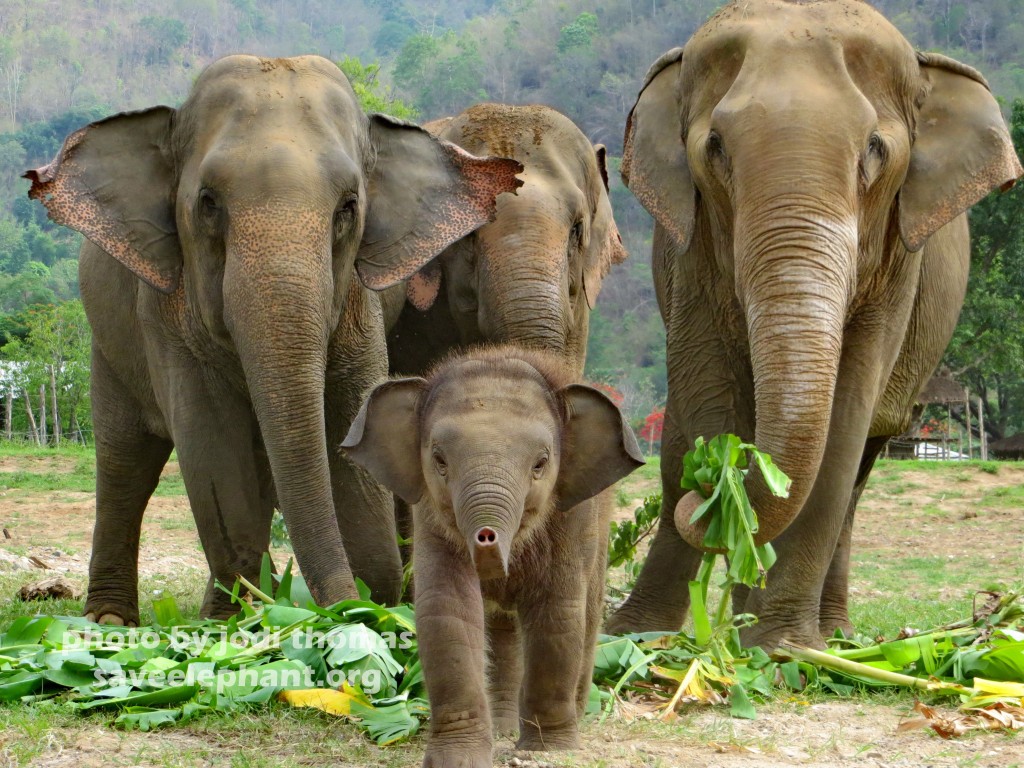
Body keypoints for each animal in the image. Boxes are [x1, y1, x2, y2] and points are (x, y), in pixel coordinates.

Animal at [25, 55, 520, 626]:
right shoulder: (166, 313)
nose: (350, 606)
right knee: (126, 460)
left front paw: (366, 605)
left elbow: (353, 418)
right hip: (109, 346)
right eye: (208, 203)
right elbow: (213, 446)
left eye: (349, 207)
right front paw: (244, 619)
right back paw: (117, 619)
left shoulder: (359, 304)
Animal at [602, 0, 1019, 651]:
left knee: (860, 470)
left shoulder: (898, 262)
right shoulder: (688, 250)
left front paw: (782, 648)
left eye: (875, 148)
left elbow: (844, 422)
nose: (701, 494)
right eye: (715, 146)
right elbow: (706, 399)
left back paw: (833, 636)